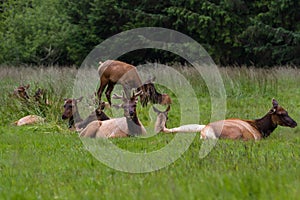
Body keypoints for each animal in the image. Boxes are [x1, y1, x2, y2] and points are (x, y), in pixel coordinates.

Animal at [157, 99, 298, 141]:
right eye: (281, 113)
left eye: (287, 111)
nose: (295, 123)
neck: (262, 129)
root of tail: (205, 131)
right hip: (235, 133)